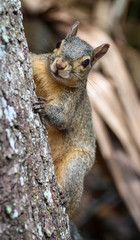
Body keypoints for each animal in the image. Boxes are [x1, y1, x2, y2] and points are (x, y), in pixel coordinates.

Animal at [30, 20, 109, 238]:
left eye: (86, 63)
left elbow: (62, 119)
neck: (53, 79)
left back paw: (64, 198)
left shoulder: (72, 100)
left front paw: (44, 108)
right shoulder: (36, 63)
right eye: (59, 43)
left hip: (77, 164)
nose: (60, 65)